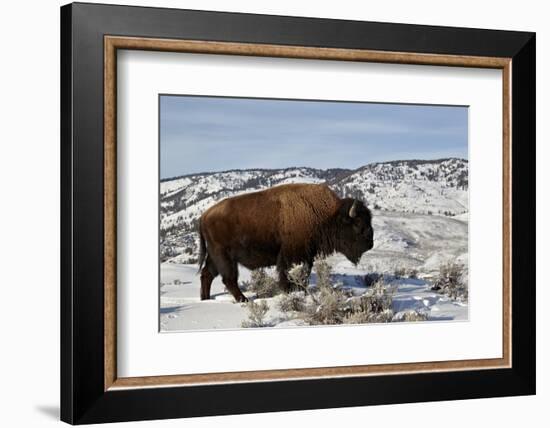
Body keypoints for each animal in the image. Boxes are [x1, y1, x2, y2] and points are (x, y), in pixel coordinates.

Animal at [197, 183, 376, 300]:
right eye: (358, 224)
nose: (370, 243)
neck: (325, 214)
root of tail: (204, 216)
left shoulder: (307, 255)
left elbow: (304, 274)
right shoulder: (291, 255)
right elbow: (288, 274)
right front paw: (289, 291)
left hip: (214, 256)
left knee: (207, 274)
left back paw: (206, 298)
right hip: (224, 257)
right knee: (228, 278)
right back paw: (244, 300)